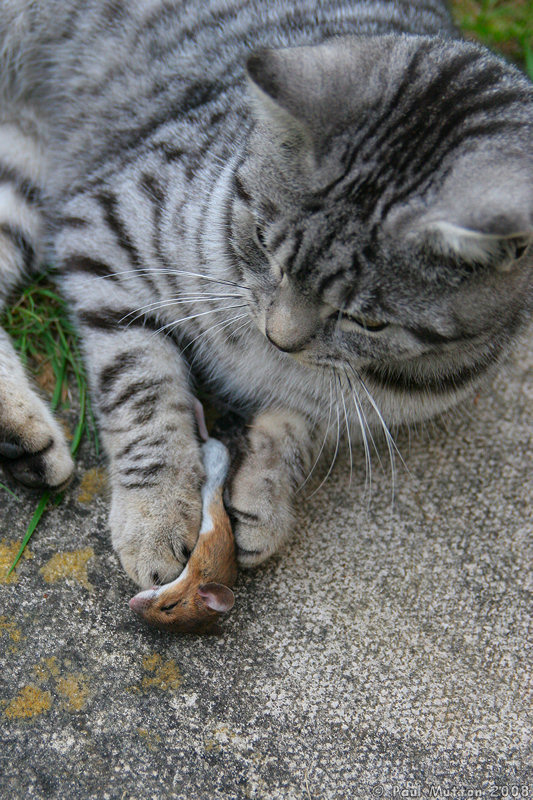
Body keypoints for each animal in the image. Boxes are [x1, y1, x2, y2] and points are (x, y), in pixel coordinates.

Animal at [0, 0, 528, 588]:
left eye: (369, 321)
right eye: (261, 243)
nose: (280, 338)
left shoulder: (346, 405)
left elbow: (296, 433)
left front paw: (263, 502)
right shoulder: (108, 226)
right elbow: (143, 390)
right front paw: (156, 511)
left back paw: (20, 438)